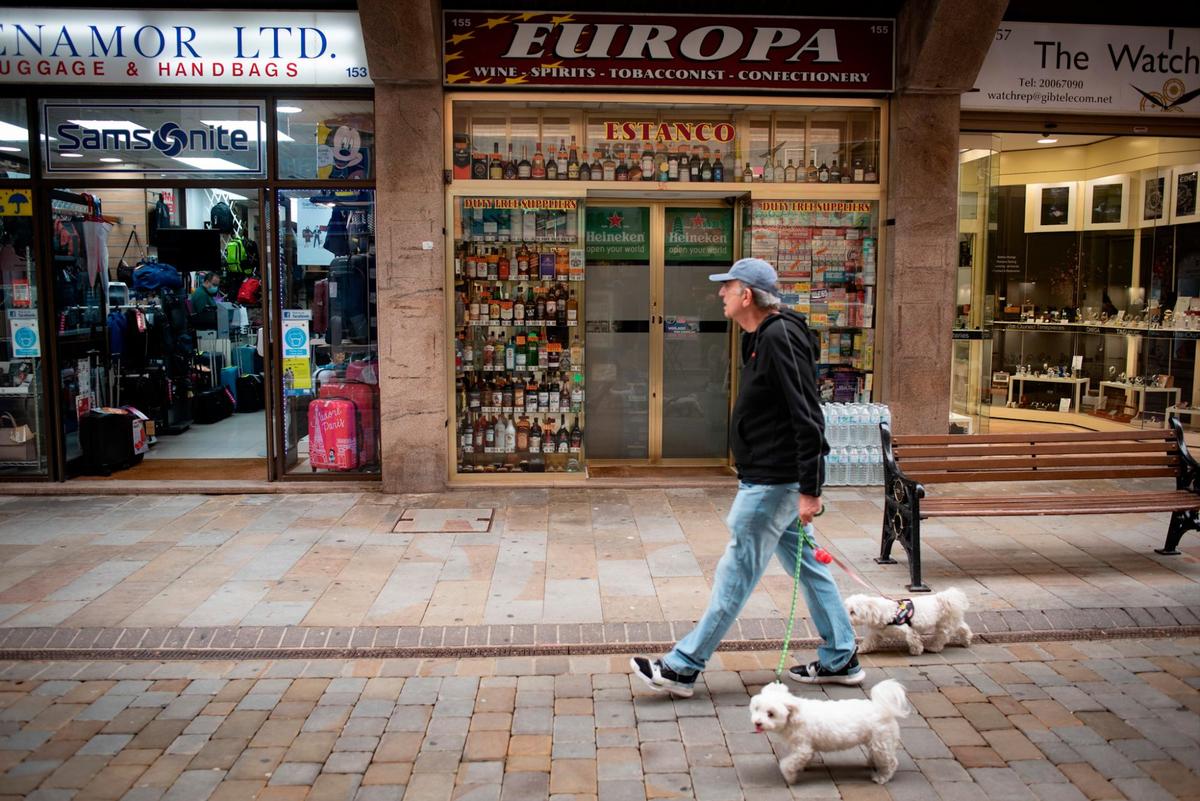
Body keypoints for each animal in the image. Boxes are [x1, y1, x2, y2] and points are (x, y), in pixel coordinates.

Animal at [748, 681, 907, 786]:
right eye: (756, 708)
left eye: (770, 714)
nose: (757, 723)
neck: (793, 717)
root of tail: (883, 709)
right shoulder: (807, 747)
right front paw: (801, 767)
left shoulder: (803, 748)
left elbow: (788, 763)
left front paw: (790, 777)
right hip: (875, 742)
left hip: (881, 743)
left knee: (892, 762)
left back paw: (882, 778)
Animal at [844, 585, 974, 652]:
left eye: (853, 612)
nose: (845, 617)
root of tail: (945, 598)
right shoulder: (876, 633)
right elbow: (868, 642)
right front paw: (860, 649)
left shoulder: (906, 629)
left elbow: (912, 639)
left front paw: (916, 650)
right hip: (950, 621)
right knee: (962, 627)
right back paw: (966, 640)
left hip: (944, 624)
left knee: (942, 636)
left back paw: (934, 647)